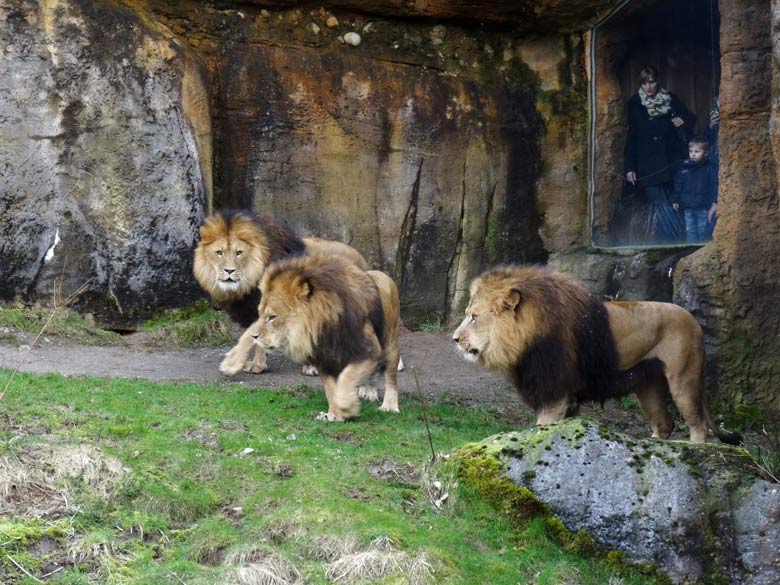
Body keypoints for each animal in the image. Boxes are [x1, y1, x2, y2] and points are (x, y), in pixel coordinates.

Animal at [193, 211, 368, 374]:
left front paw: (233, 363)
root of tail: (359, 257)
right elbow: (257, 337)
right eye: (219, 252)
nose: (229, 271)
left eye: (239, 253)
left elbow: (249, 337)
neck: (246, 282)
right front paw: (257, 365)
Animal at [219, 253, 402, 422]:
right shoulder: (323, 359)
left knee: (391, 376)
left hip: (390, 344)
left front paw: (347, 407)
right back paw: (367, 390)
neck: (323, 328)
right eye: (260, 314)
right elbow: (331, 389)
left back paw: (389, 406)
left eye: (272, 317)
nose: (254, 336)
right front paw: (334, 414)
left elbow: (346, 377)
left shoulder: (368, 350)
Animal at [448, 264, 740, 442]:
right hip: (649, 386)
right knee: (665, 424)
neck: (527, 338)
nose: (454, 339)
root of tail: (694, 320)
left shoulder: (556, 392)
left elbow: (541, 428)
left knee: (698, 425)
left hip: (684, 379)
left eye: (473, 317)